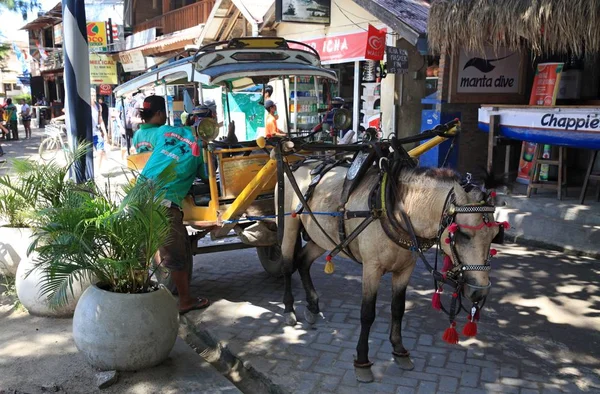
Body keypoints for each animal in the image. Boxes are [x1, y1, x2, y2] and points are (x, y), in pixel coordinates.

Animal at [278, 162, 502, 384]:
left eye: (494, 235)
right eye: (463, 234)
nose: (479, 291)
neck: (397, 211)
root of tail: (303, 164)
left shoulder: (405, 269)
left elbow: (398, 309)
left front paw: (400, 350)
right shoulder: (371, 268)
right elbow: (367, 314)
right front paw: (362, 361)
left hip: (321, 237)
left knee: (303, 261)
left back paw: (313, 305)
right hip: (289, 225)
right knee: (288, 264)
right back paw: (289, 308)